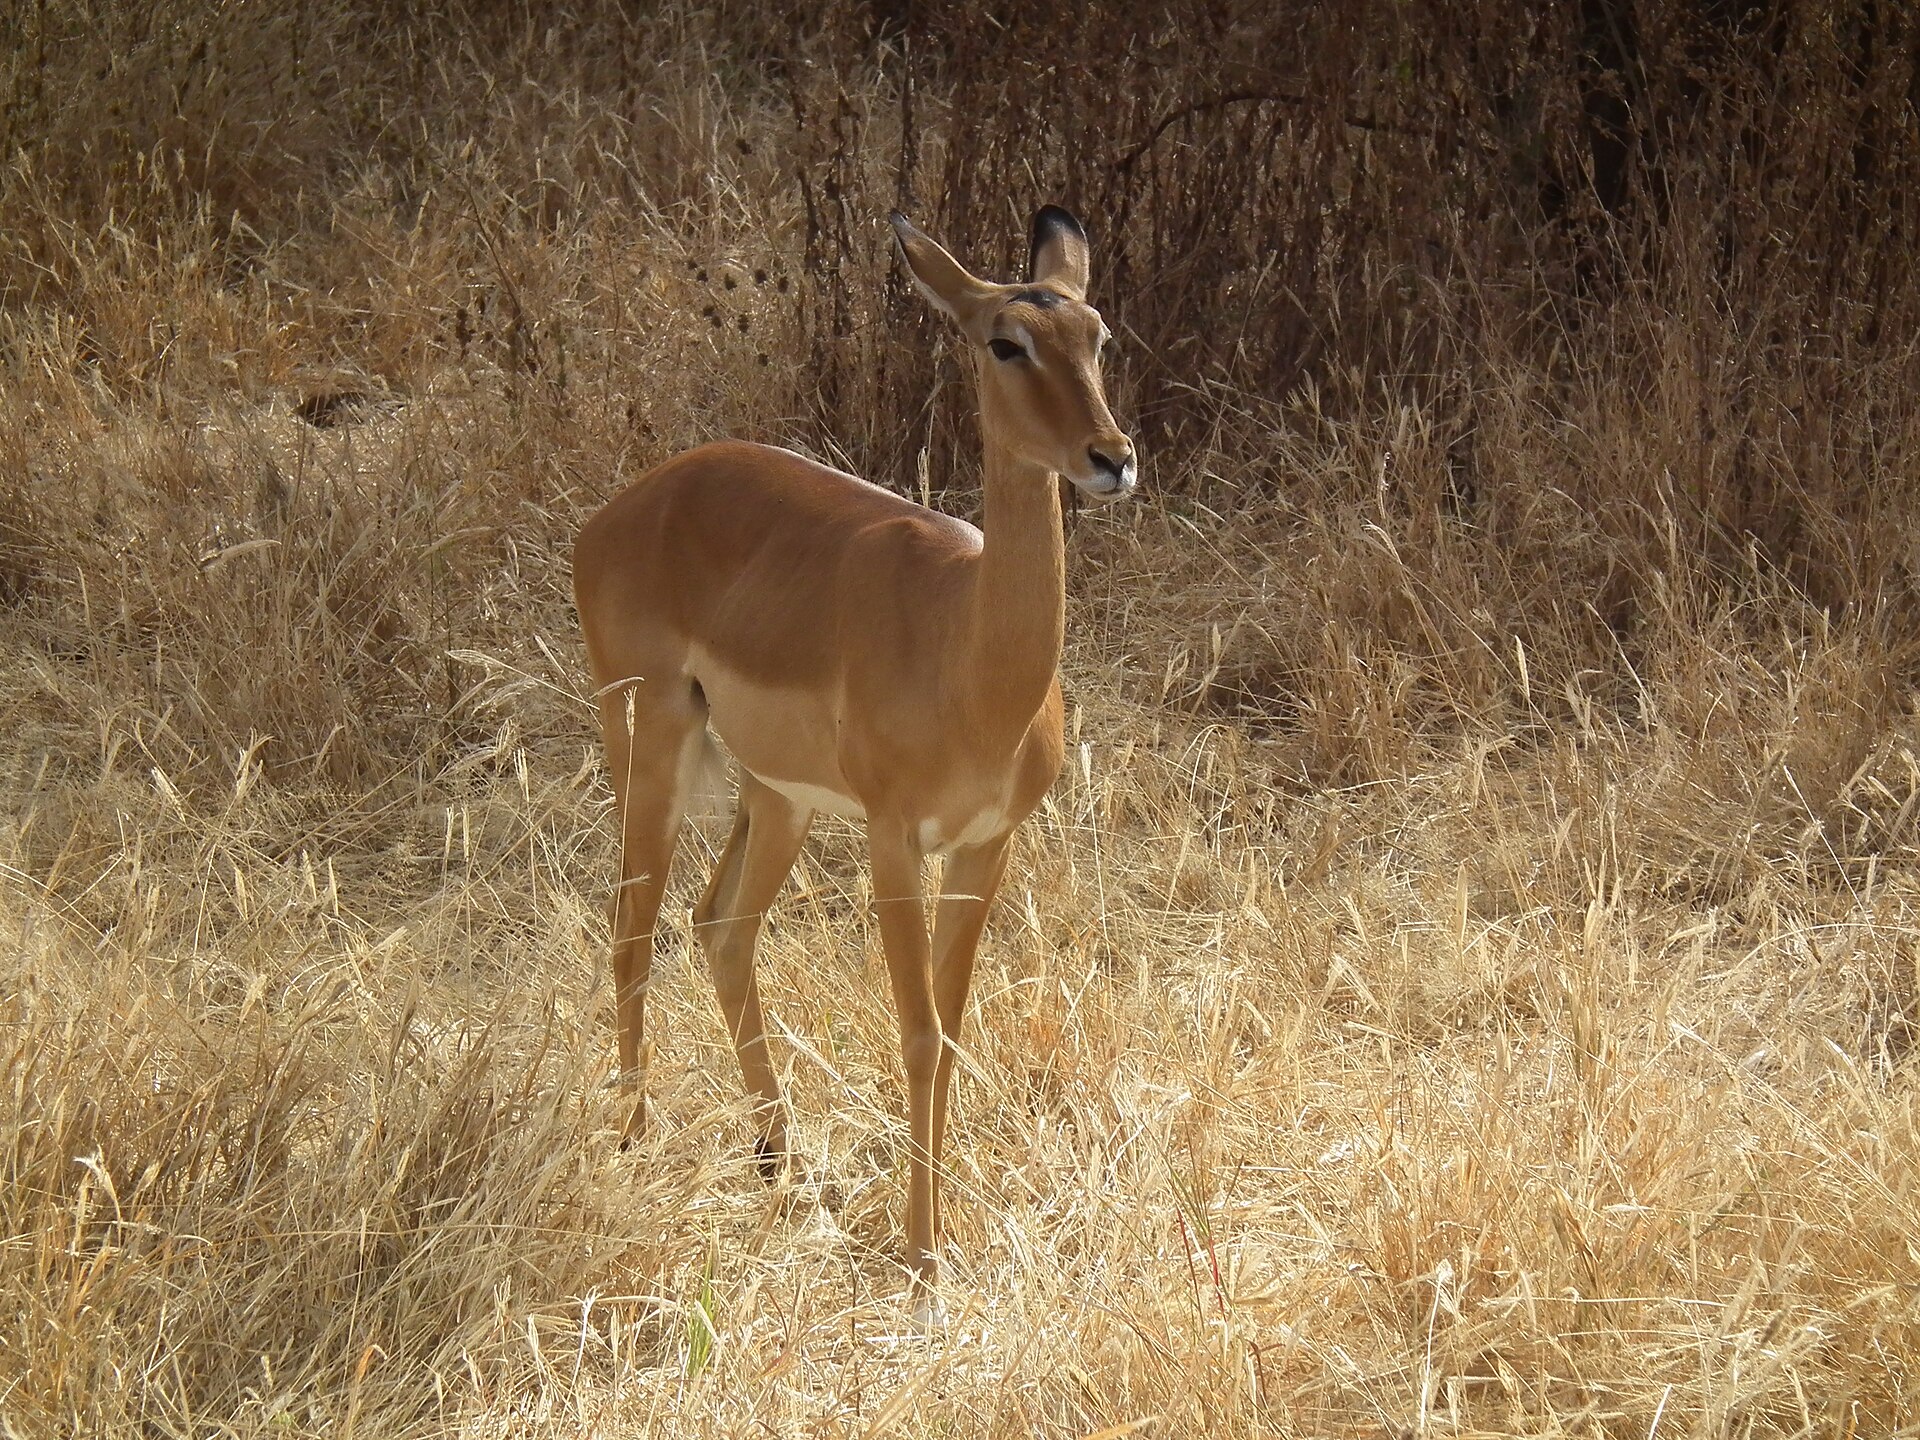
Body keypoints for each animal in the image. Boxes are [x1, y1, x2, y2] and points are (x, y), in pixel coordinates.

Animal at [571, 207, 1134, 1321]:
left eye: (1096, 331)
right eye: (1005, 341)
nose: (1111, 456)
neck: (968, 656)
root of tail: (614, 512)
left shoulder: (985, 846)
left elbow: (951, 1034)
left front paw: (936, 1234)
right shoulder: (892, 842)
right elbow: (914, 1033)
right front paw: (921, 1260)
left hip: (774, 796)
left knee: (718, 927)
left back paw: (777, 1160)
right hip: (650, 745)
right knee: (630, 927)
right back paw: (635, 1139)